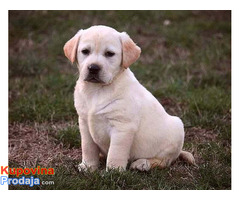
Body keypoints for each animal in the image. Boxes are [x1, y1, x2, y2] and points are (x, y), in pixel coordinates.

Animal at [62, 25, 194, 172]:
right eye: (85, 51)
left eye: (109, 54)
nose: (93, 68)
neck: (97, 90)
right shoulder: (84, 123)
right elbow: (88, 148)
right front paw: (88, 166)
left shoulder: (122, 127)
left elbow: (116, 152)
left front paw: (114, 171)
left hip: (177, 128)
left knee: (165, 160)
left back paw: (142, 163)